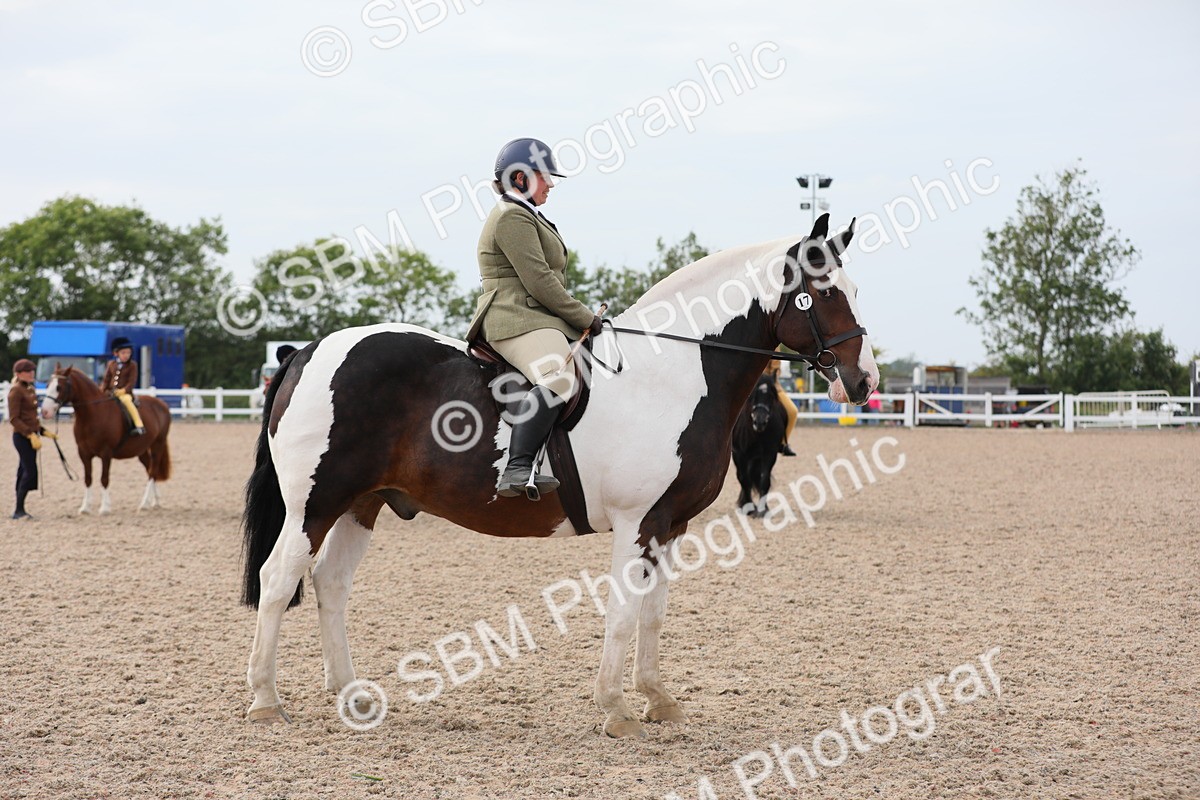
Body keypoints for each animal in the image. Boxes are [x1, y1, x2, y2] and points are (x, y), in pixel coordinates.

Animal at [40, 365, 173, 514]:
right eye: (47, 385)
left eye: (59, 387)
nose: (44, 412)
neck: (93, 413)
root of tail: (162, 404)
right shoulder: (84, 453)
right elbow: (88, 479)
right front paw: (85, 507)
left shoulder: (106, 454)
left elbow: (104, 479)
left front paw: (104, 508)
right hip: (141, 450)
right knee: (150, 470)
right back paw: (155, 501)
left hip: (157, 445)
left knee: (152, 471)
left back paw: (144, 503)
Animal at [732, 374, 787, 517]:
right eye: (752, 396)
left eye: (771, 396)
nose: (760, 421)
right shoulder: (739, 453)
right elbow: (744, 480)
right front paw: (748, 508)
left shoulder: (770, 453)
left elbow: (764, 479)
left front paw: (763, 509)